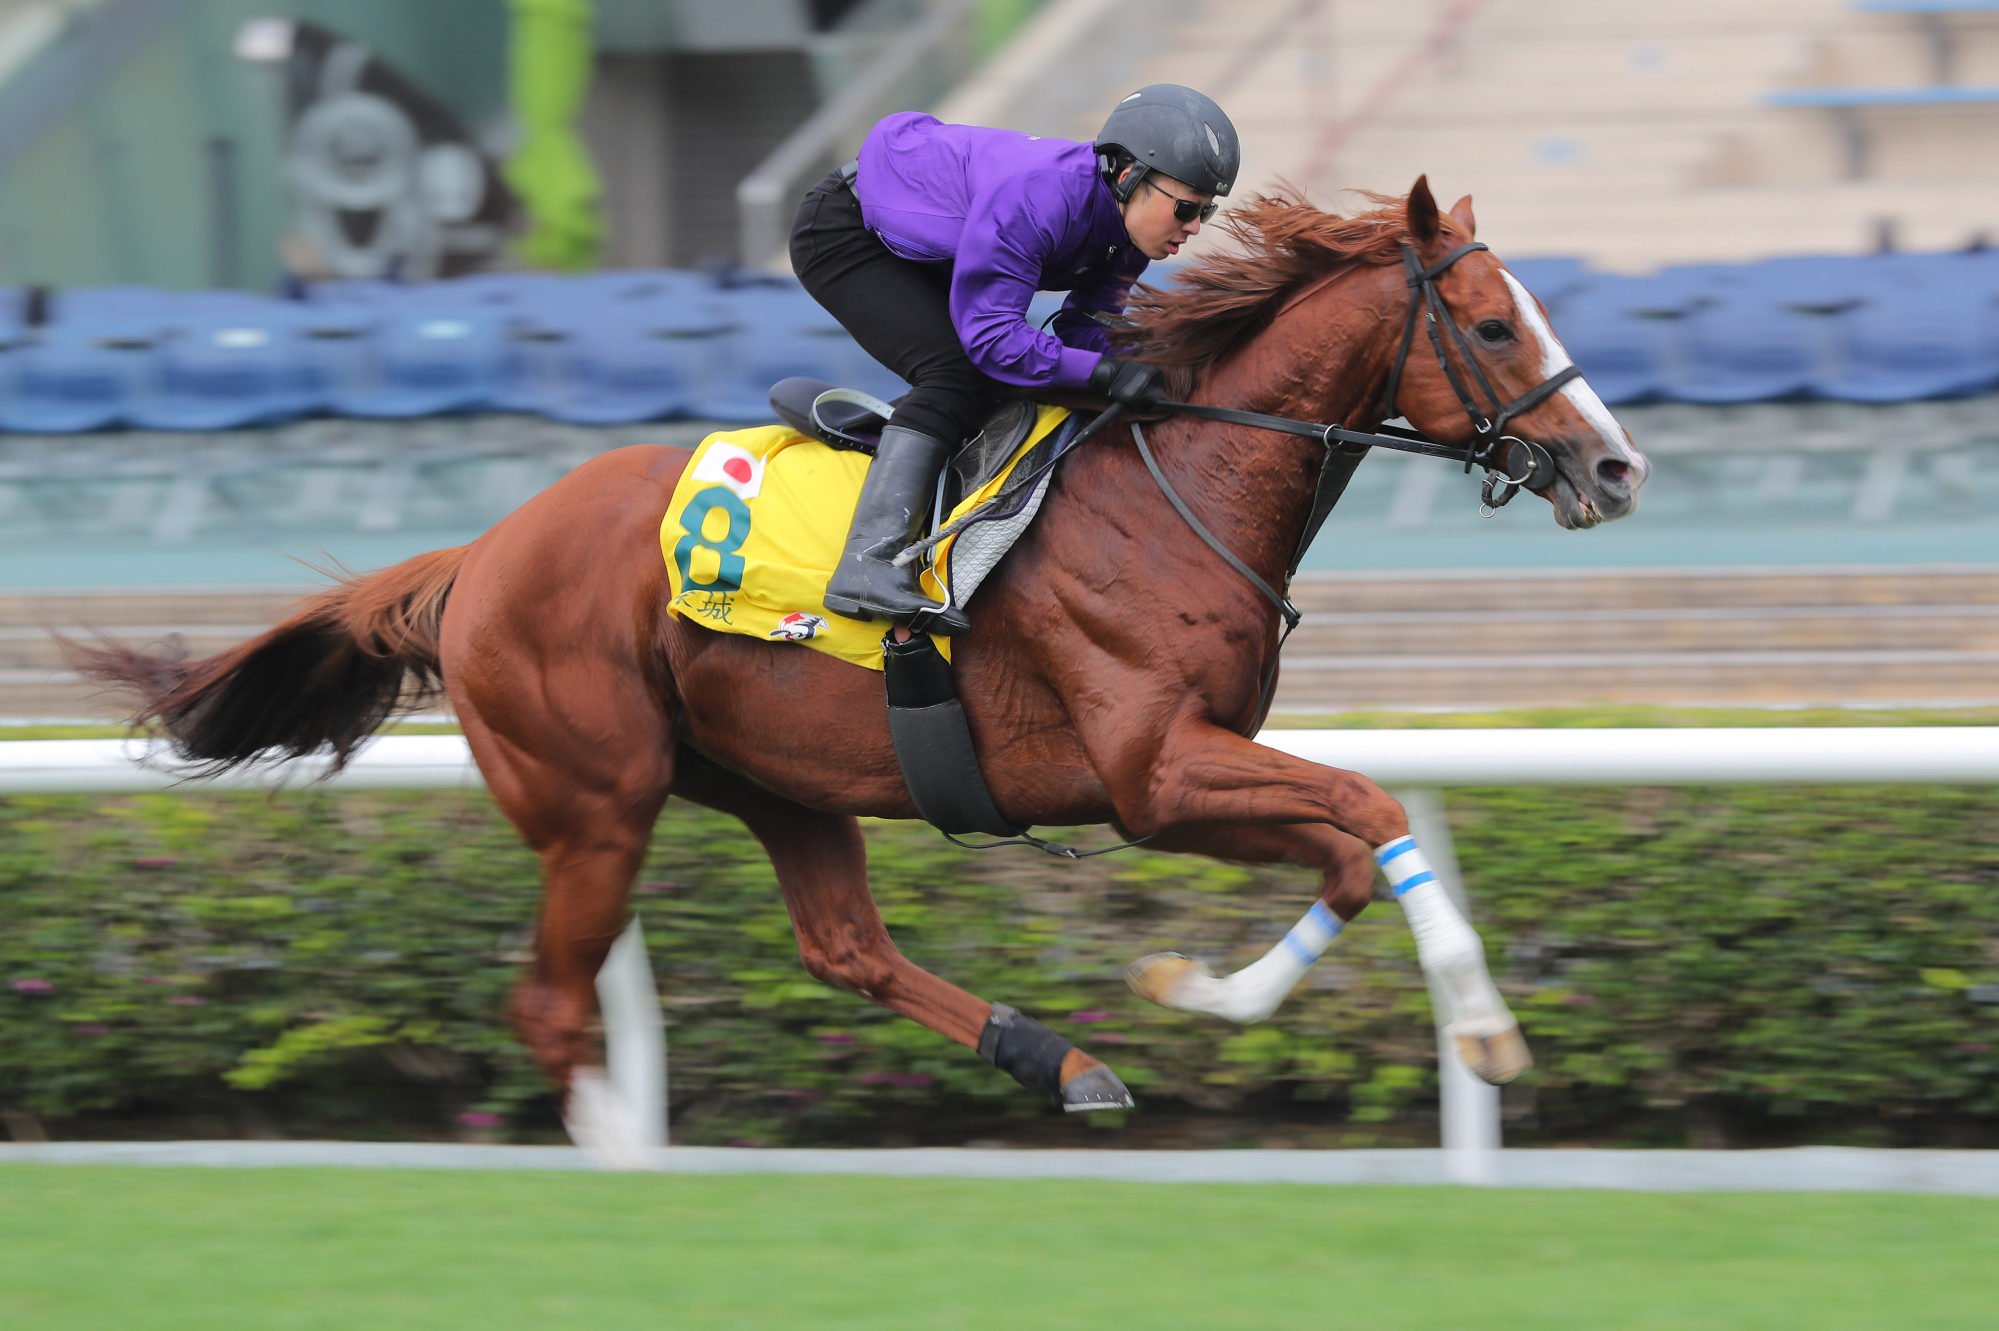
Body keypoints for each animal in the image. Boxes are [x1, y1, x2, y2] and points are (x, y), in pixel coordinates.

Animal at [66, 175, 1655, 1151]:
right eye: (1494, 318)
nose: (1615, 467)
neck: (1175, 485)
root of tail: (482, 551)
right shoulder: (1152, 772)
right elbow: (1374, 813)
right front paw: (1486, 1037)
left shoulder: (1187, 774)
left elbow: (1349, 849)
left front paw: (1196, 997)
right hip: (596, 799)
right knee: (552, 1004)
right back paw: (626, 1164)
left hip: (776, 776)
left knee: (842, 944)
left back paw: (1058, 1059)